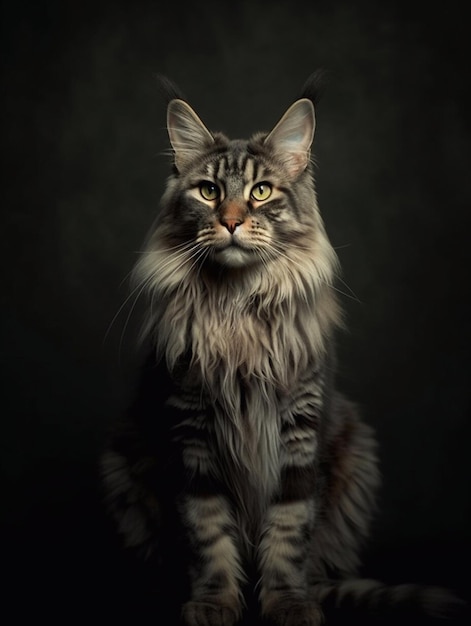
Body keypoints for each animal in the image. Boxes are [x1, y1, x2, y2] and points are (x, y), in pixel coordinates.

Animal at [101, 70, 466, 620]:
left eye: (261, 190)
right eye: (208, 191)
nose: (230, 220)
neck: (237, 308)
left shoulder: (300, 431)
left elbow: (289, 533)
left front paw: (289, 604)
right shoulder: (192, 438)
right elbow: (208, 534)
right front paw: (214, 602)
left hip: (354, 449)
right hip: (125, 462)